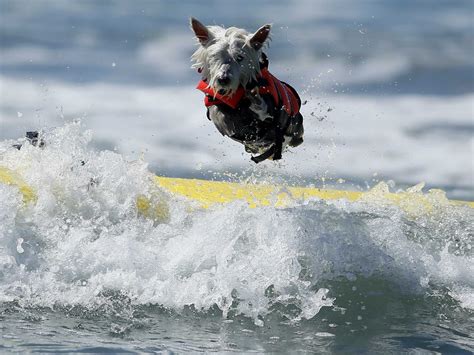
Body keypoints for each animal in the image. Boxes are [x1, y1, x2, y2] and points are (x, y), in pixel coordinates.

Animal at [189, 18, 304, 164]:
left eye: (240, 57)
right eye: (215, 56)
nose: (223, 79)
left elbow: (264, 111)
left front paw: (255, 100)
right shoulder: (216, 107)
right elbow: (220, 115)